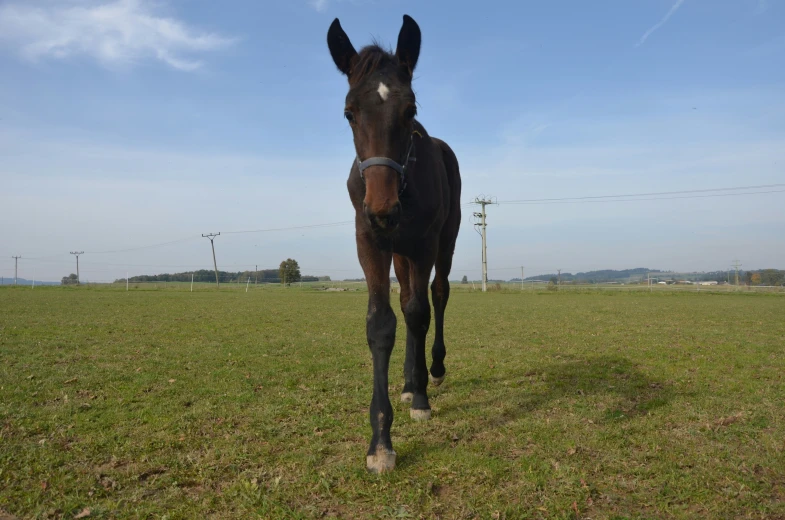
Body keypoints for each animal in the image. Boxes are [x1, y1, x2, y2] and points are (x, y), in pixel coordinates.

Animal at [324, 14, 460, 474]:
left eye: (411, 109)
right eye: (348, 112)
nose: (382, 209)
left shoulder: (423, 245)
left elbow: (419, 313)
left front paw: (420, 399)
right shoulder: (371, 243)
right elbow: (383, 322)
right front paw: (380, 440)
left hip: (443, 243)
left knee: (436, 296)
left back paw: (430, 372)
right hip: (398, 252)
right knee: (407, 303)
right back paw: (407, 380)